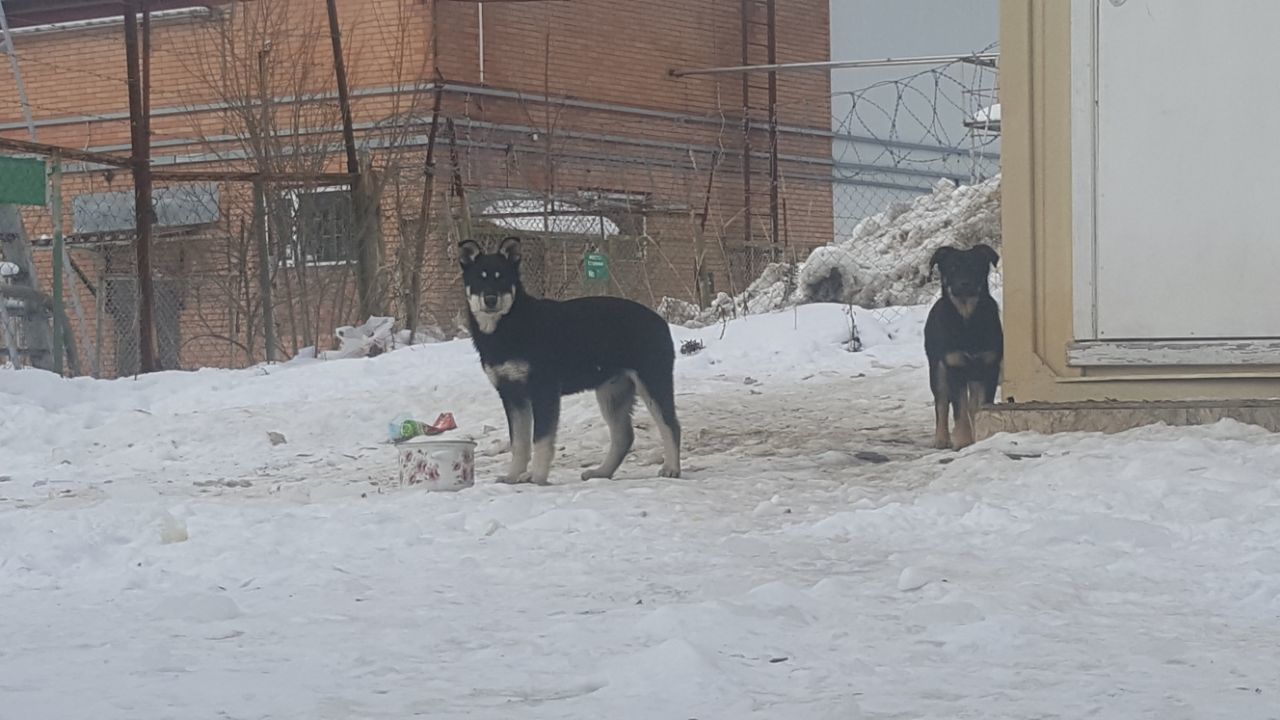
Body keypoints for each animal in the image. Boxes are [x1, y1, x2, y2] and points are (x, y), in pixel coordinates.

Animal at [458, 238, 680, 484]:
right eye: (479, 278)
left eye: (502, 277)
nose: (490, 300)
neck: (509, 324)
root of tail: (661, 322)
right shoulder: (512, 395)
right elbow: (519, 443)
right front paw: (512, 476)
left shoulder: (543, 390)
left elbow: (541, 440)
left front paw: (537, 477)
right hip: (612, 391)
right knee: (624, 436)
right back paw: (601, 472)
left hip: (652, 382)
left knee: (670, 426)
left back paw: (671, 468)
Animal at [926, 244, 1003, 448]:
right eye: (952, 268)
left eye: (975, 267)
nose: (964, 283)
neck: (967, 319)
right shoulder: (955, 366)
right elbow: (958, 409)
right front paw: (962, 441)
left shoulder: (990, 366)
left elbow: (980, 406)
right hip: (937, 368)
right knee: (941, 404)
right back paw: (942, 439)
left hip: (974, 376)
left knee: (971, 404)